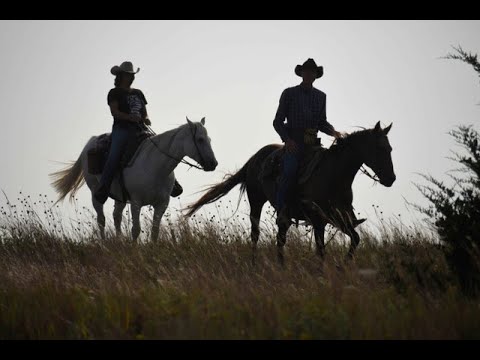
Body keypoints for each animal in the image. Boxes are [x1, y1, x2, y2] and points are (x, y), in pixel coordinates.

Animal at [49, 118, 218, 242]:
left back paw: (118, 241)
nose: (213, 163)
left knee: (116, 216)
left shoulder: (162, 203)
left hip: (120, 197)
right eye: (200, 139)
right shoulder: (136, 202)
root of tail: (90, 143)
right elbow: (136, 230)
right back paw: (104, 243)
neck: (155, 166)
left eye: (209, 139)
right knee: (101, 219)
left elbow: (155, 231)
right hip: (95, 192)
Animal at [186, 121, 396, 264]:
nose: (391, 179)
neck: (333, 174)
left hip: (283, 214)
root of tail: (254, 158)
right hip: (256, 201)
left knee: (281, 237)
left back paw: (281, 265)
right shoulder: (318, 220)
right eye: (379, 148)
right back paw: (255, 264)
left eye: (390, 148)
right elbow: (321, 249)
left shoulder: (339, 218)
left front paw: (342, 266)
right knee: (256, 234)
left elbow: (355, 238)